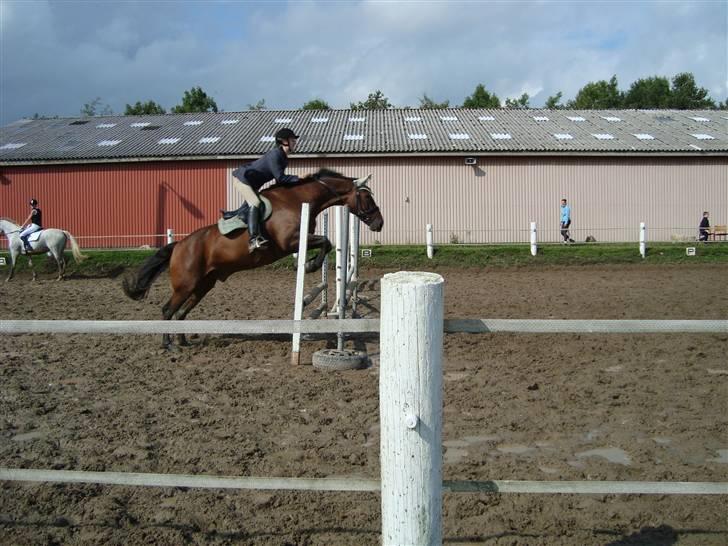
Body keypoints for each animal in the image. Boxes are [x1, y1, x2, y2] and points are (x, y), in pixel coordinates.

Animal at [123, 170, 386, 346]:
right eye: (367, 198)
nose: (379, 224)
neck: (298, 200)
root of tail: (178, 245)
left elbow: (326, 243)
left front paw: (310, 263)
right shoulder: (289, 241)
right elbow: (325, 242)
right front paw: (311, 265)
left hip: (203, 285)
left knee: (180, 313)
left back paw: (183, 341)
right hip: (186, 285)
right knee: (168, 309)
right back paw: (167, 344)